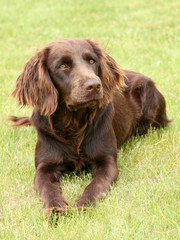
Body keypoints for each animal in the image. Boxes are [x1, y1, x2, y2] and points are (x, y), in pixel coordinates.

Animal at [7, 39, 169, 216]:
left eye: (92, 61)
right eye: (62, 66)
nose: (95, 85)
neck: (73, 124)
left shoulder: (106, 161)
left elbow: (95, 185)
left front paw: (83, 205)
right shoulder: (45, 166)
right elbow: (47, 188)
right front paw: (56, 209)